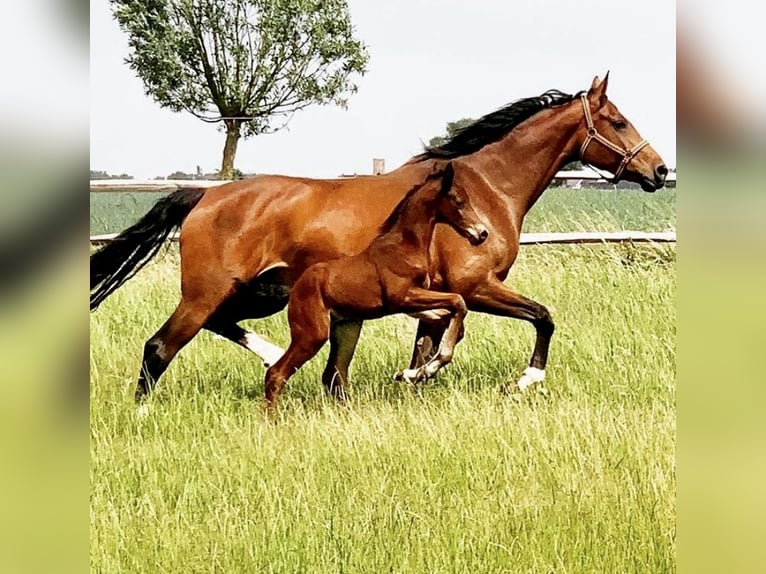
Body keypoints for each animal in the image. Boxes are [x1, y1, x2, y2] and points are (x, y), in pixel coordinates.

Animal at [268, 160, 488, 416]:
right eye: (459, 200)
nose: (482, 233)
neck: (404, 247)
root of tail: (296, 288)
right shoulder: (402, 297)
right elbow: (458, 301)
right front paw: (429, 365)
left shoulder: (412, 304)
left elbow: (447, 314)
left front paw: (416, 372)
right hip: (312, 334)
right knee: (276, 373)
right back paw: (273, 420)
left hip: (345, 327)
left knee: (331, 373)